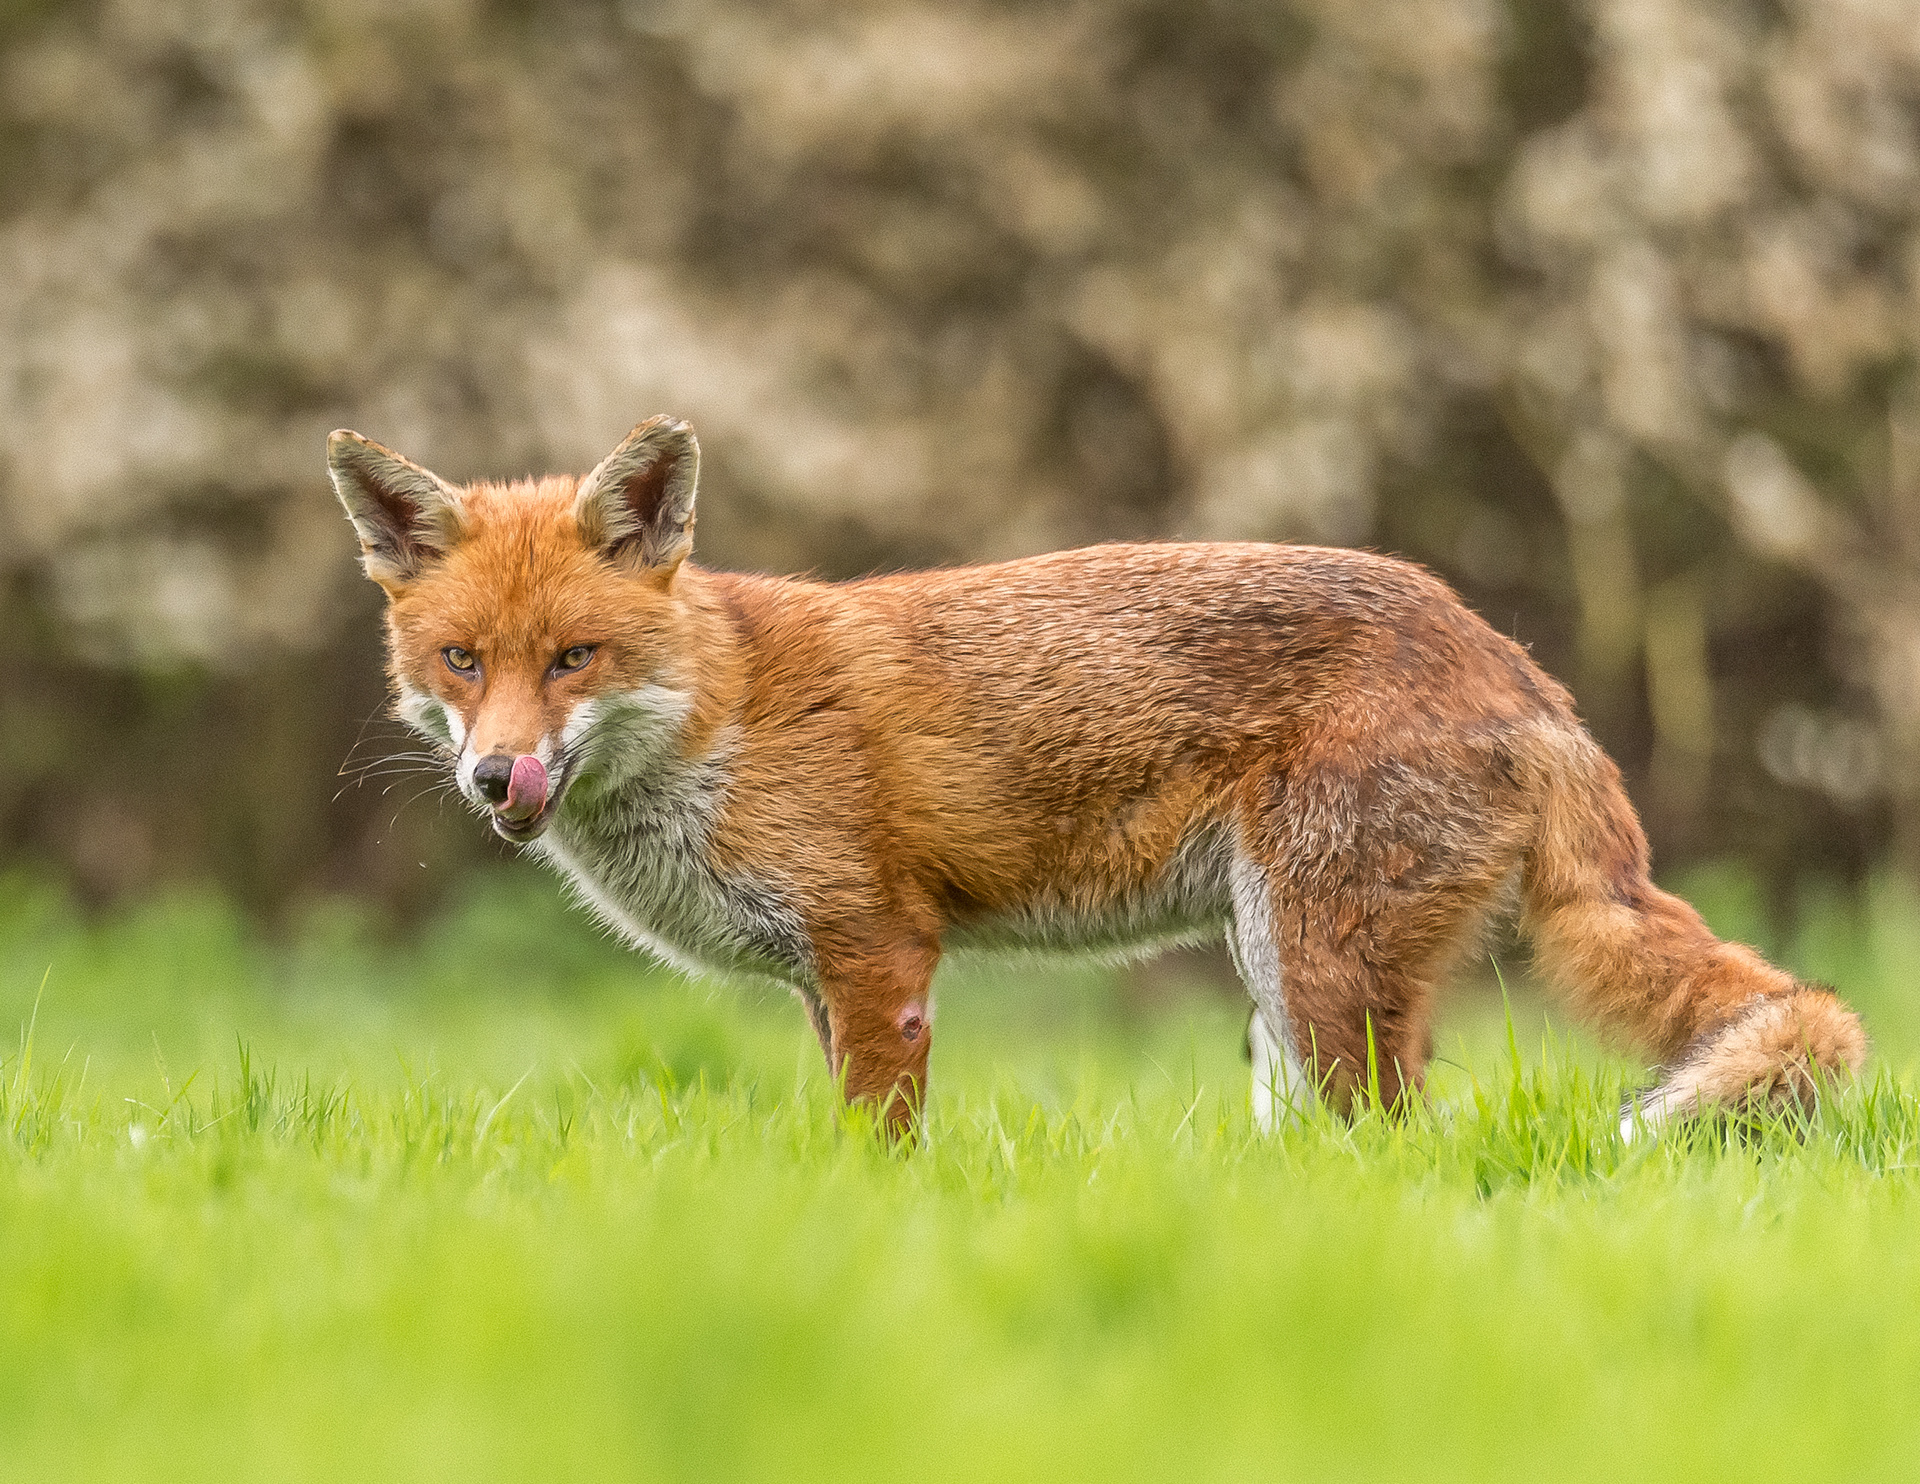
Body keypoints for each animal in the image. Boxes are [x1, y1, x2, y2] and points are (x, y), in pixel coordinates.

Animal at [326, 414, 1858, 1136]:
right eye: (463, 660)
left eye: (573, 657)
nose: (498, 779)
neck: (727, 715)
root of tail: (1518, 666)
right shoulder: (822, 980)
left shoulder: (881, 956)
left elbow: (879, 1149)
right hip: (1279, 983)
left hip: (1314, 967)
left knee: (1398, 1147)